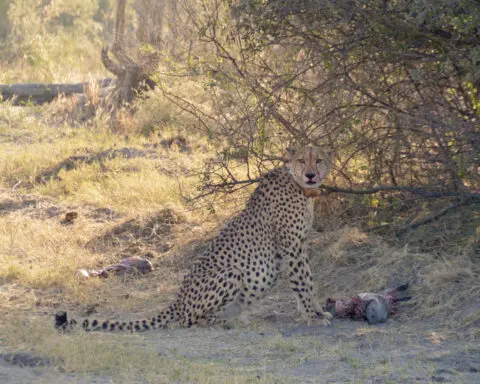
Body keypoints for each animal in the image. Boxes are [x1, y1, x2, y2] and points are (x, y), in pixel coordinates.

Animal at [55, 146, 334, 332]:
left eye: (318, 160)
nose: (311, 174)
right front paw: (314, 315)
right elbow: (303, 282)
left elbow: (306, 282)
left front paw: (314, 311)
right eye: (302, 160)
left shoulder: (298, 246)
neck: (298, 185)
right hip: (231, 272)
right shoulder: (291, 246)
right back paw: (230, 320)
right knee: (190, 321)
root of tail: (177, 301)